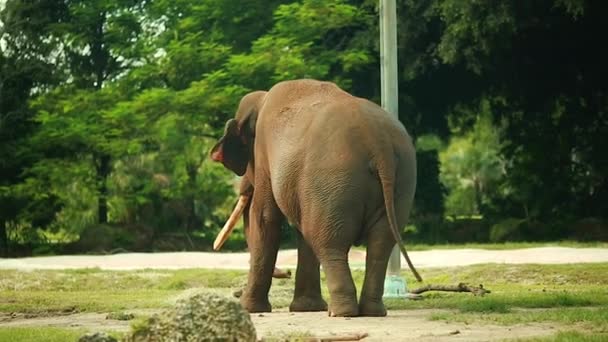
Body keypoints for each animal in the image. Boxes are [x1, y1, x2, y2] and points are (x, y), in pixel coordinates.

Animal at [209, 79, 418, 316]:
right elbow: (299, 229)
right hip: (400, 181)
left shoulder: (263, 155)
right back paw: (371, 311)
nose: (286, 272)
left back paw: (341, 312)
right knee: (379, 244)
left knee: (329, 243)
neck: (262, 99)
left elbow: (265, 218)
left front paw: (249, 309)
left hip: (334, 181)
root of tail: (379, 144)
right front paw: (306, 308)